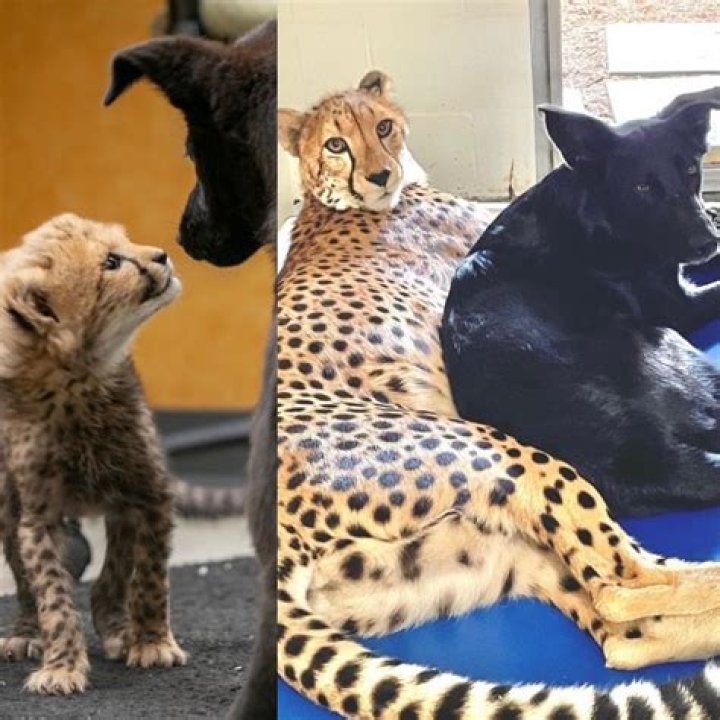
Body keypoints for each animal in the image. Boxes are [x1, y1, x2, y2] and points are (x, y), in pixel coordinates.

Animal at [0, 213, 187, 695]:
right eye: (111, 263)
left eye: (123, 243)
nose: (161, 255)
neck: (81, 375)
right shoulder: (37, 518)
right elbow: (50, 594)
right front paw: (62, 665)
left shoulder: (149, 492)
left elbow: (149, 577)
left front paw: (151, 641)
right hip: (8, 508)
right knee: (25, 587)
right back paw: (25, 633)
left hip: (121, 502)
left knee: (111, 580)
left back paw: (119, 629)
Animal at [276, 71, 720, 719]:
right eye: (643, 186)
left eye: (690, 170)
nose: (706, 238)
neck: (586, 204)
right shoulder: (680, 305)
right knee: (625, 587)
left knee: (624, 628)